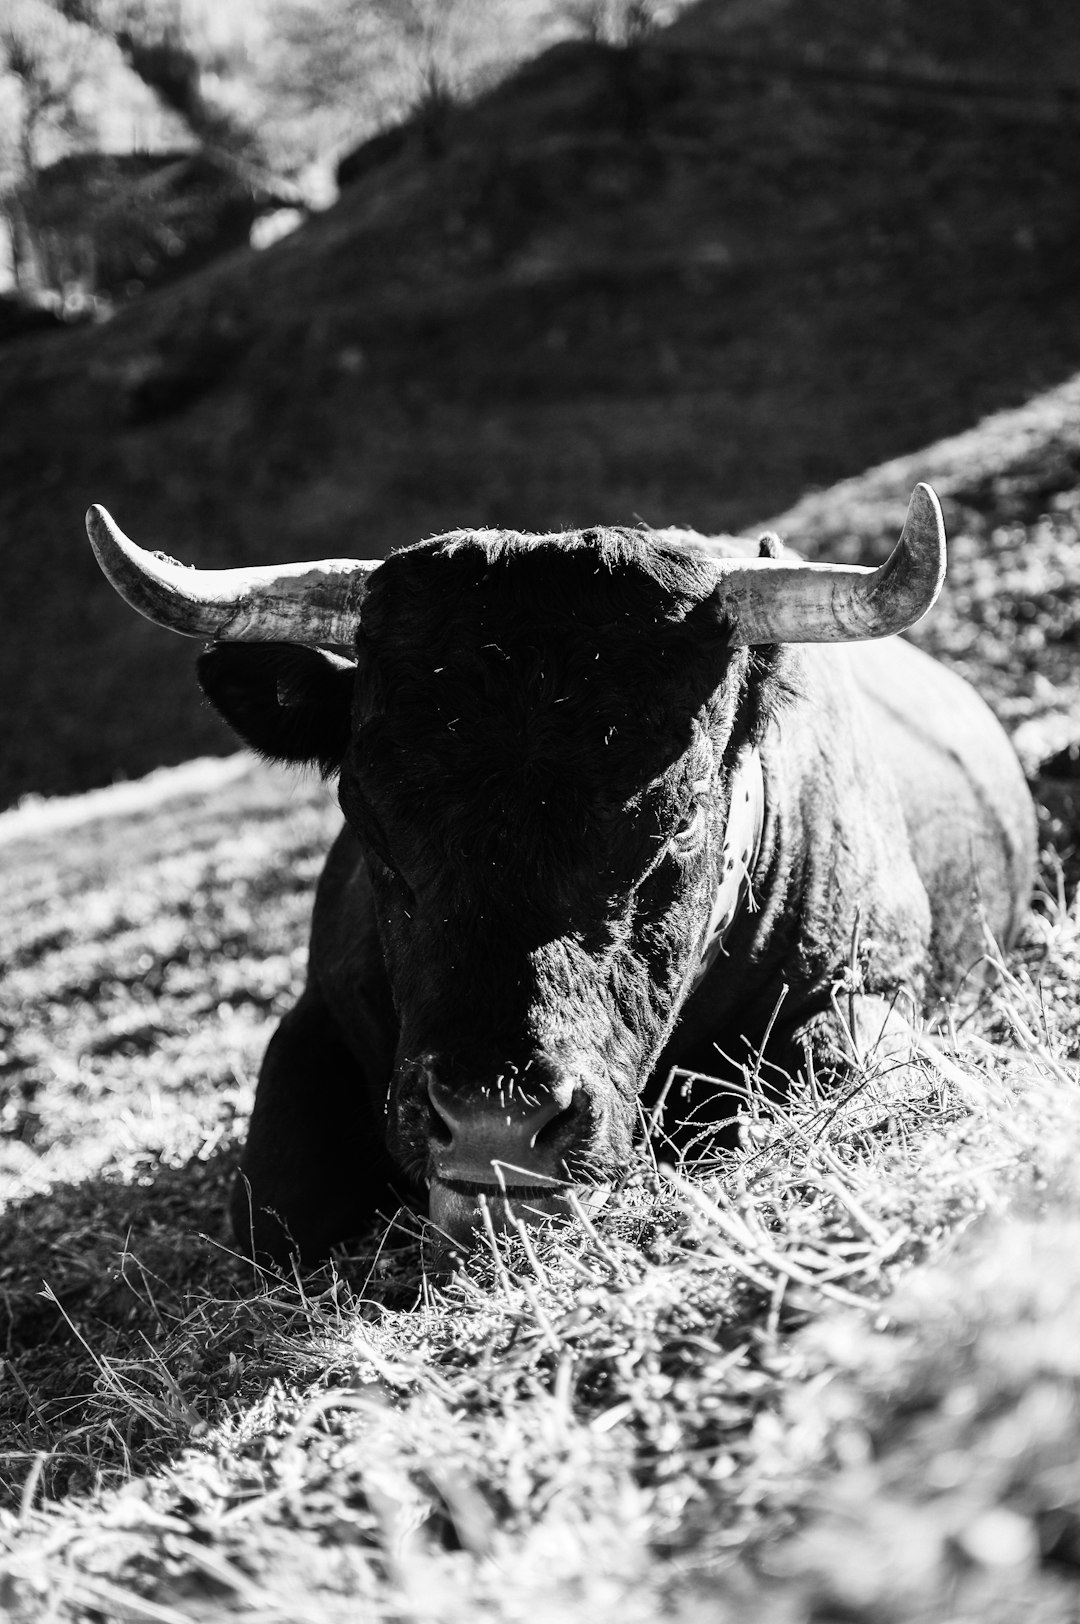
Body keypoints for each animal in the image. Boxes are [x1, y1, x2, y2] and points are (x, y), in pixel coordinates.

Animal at [86, 493, 1039, 1253]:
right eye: (365, 816)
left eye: (682, 818)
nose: (492, 1130)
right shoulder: (312, 1020)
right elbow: (279, 1213)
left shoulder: (862, 989)